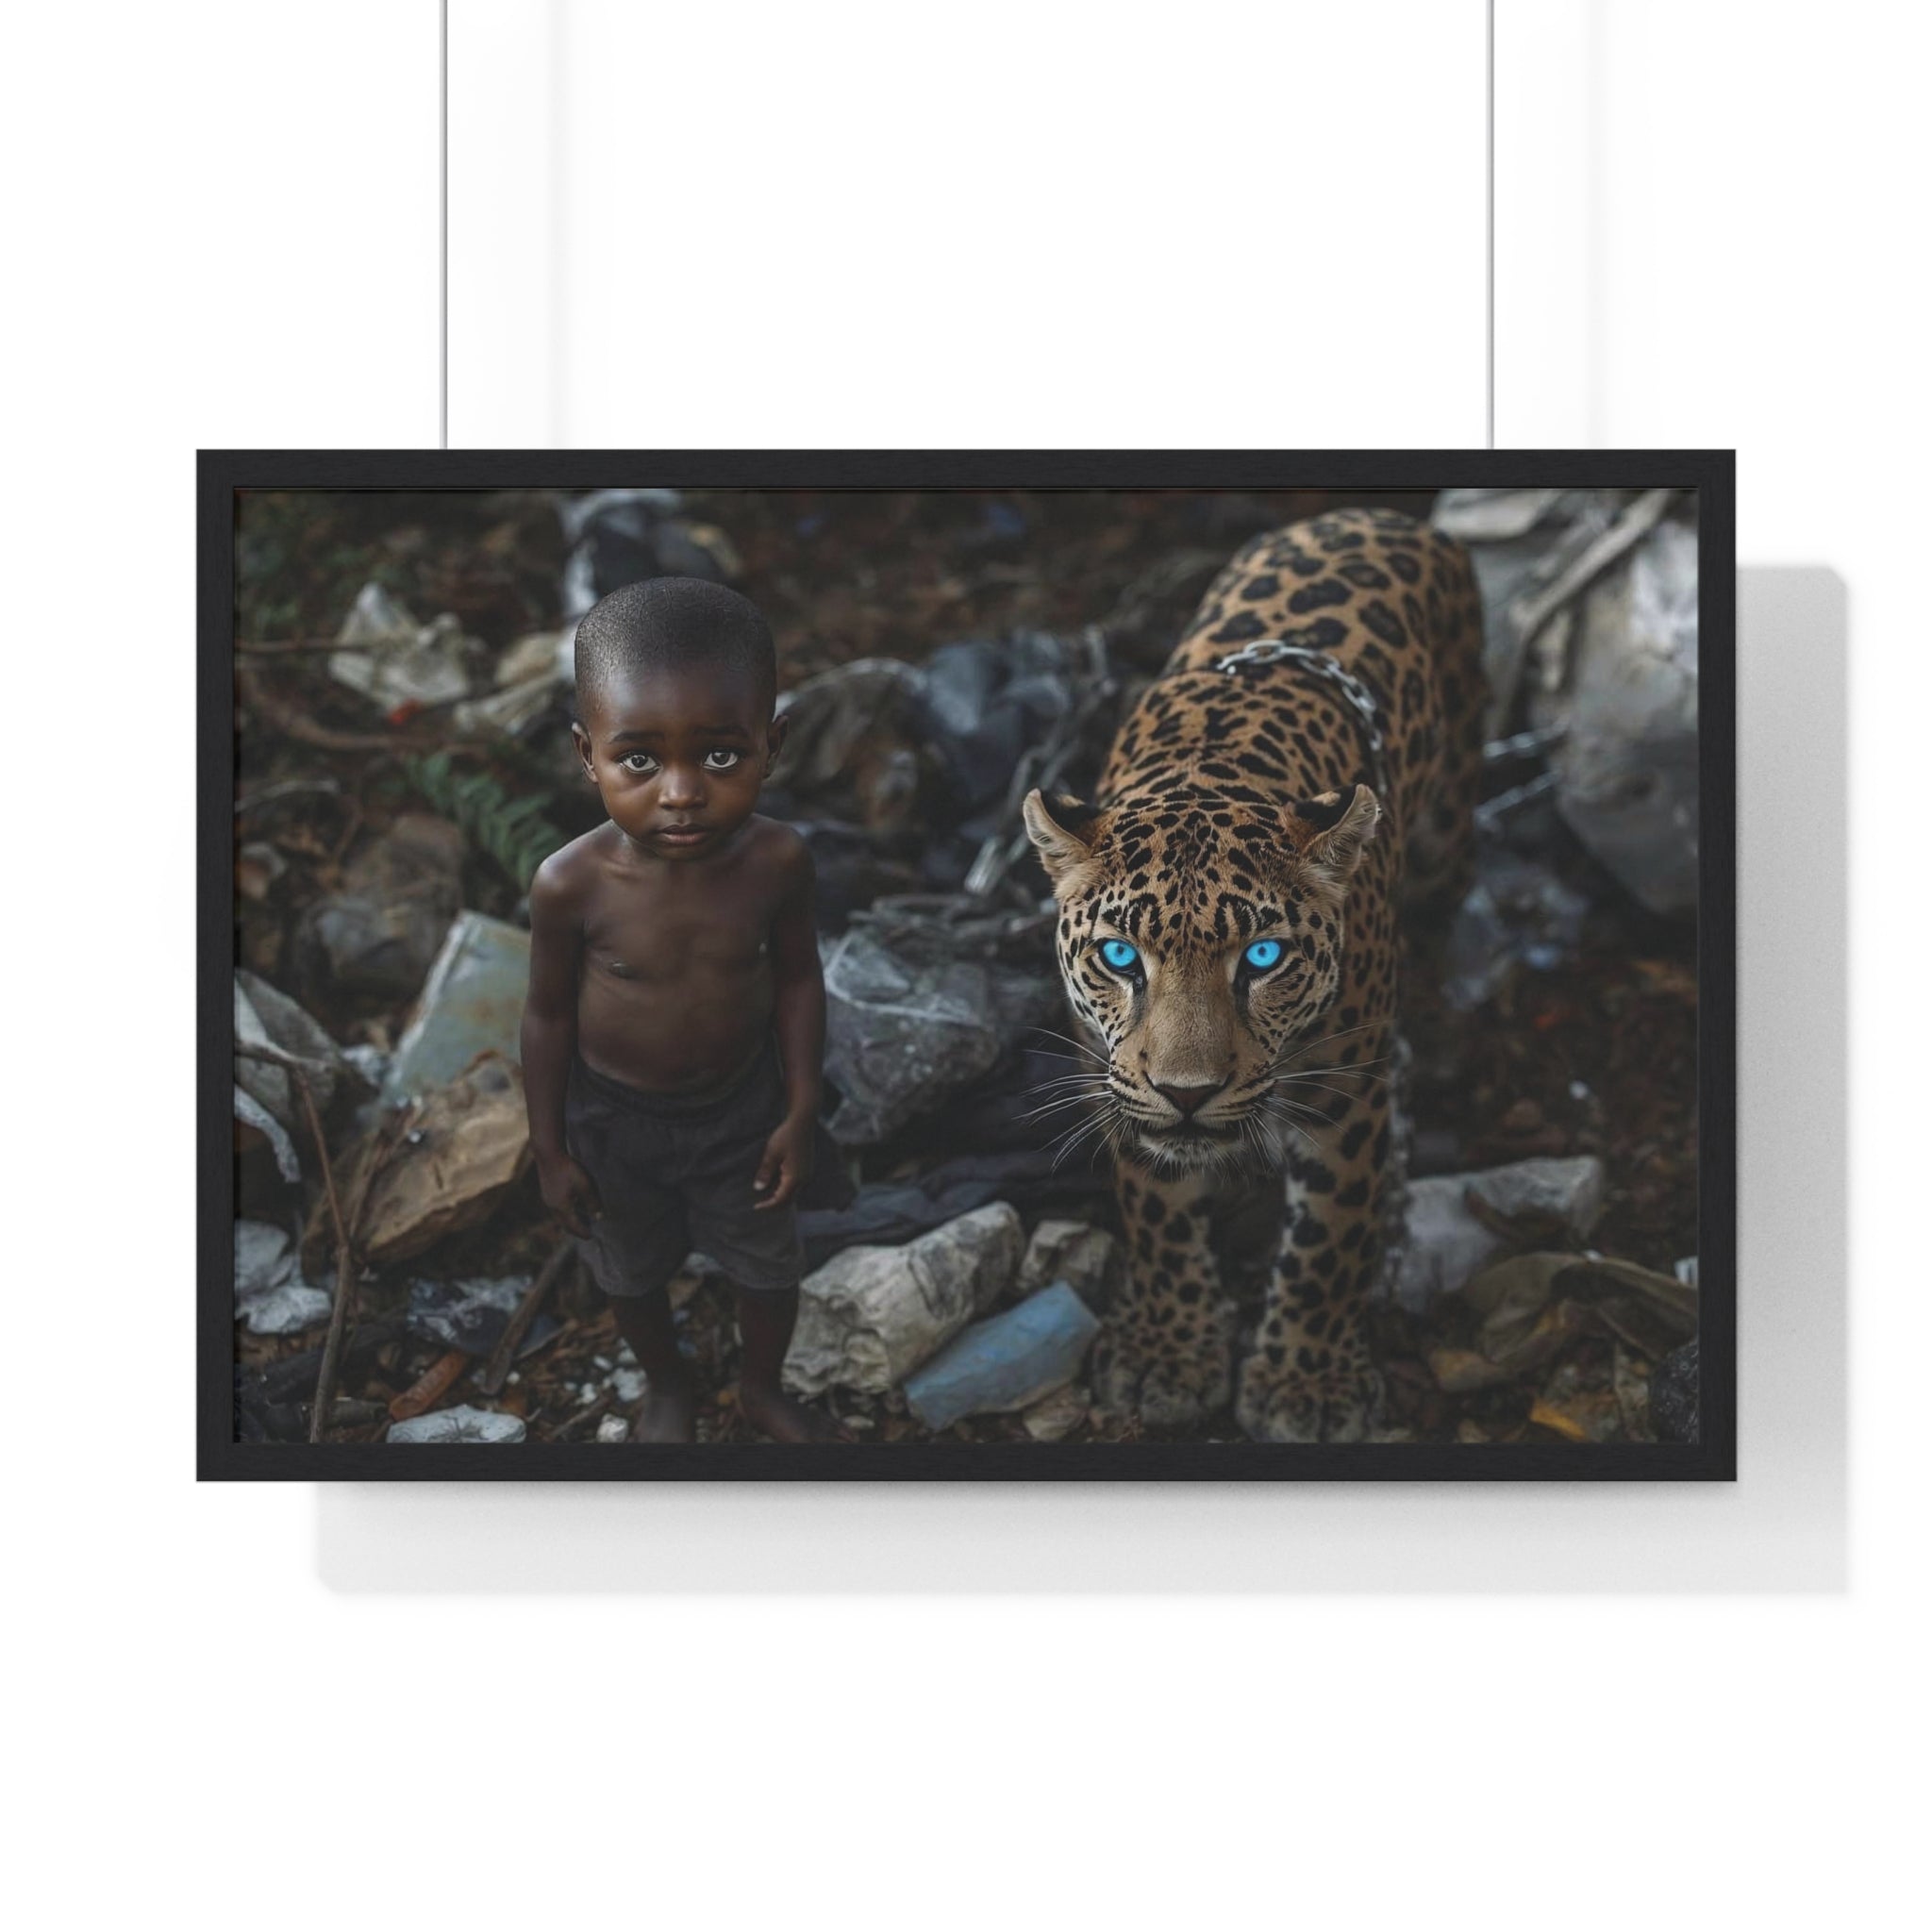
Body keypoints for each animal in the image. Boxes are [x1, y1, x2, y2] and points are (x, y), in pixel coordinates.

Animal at [1022, 506, 1486, 1442]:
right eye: (1120, 957)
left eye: (1263, 958)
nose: (1188, 1093)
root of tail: (1385, 517)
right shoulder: (1116, 1074)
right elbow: (1157, 1210)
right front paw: (1167, 1354)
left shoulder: (1348, 1092)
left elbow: (1331, 1238)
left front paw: (1307, 1385)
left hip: (1447, 822)